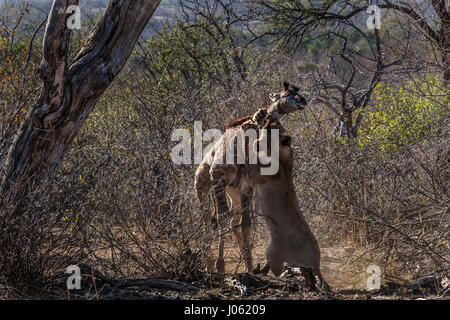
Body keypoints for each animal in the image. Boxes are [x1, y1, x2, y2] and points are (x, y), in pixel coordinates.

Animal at [193, 81, 306, 274]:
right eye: (285, 94)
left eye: (296, 92)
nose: (303, 100)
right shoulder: (218, 178)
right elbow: (222, 219)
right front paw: (220, 265)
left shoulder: (246, 186)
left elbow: (246, 224)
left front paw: (250, 267)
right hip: (202, 185)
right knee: (208, 217)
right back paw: (209, 261)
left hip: (234, 194)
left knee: (233, 220)